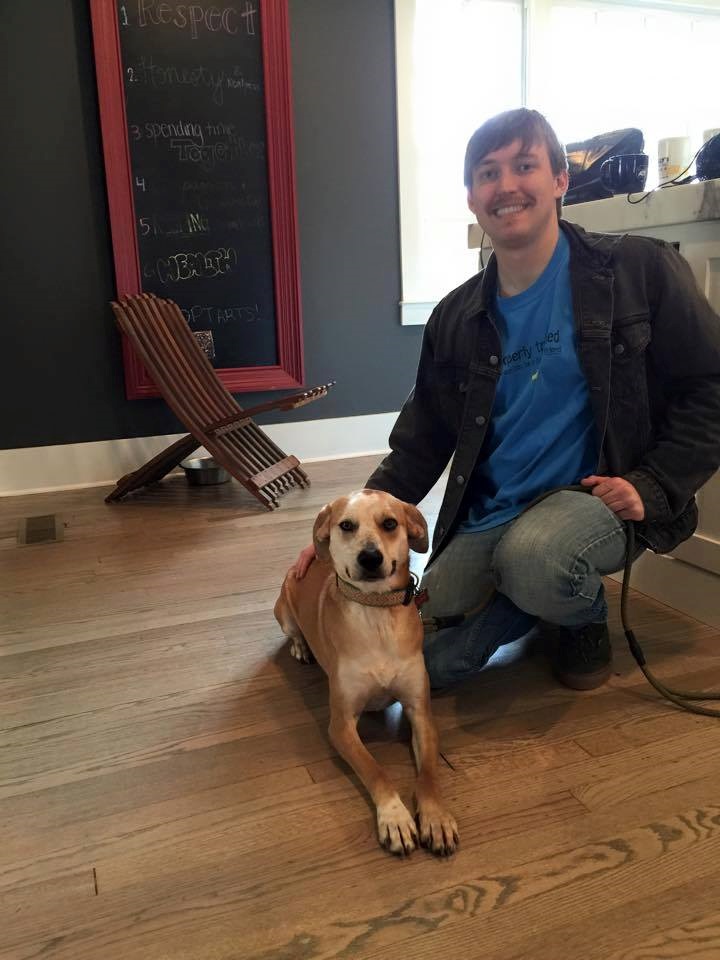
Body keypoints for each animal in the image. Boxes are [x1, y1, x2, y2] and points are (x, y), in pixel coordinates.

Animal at [274, 489, 458, 856]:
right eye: (346, 525)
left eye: (389, 523)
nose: (370, 557)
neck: (376, 615)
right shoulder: (341, 725)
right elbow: (375, 770)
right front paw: (395, 816)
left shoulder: (420, 710)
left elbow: (429, 773)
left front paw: (435, 816)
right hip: (283, 608)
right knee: (293, 631)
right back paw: (301, 647)